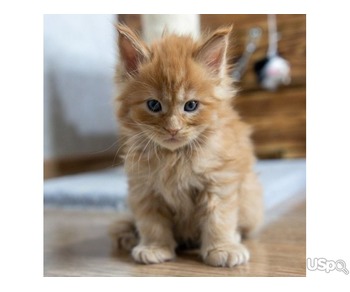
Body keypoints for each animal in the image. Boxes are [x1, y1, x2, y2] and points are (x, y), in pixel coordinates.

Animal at [110, 24, 264, 268]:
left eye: (191, 106)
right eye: (153, 105)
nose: (173, 129)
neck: (175, 158)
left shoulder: (219, 181)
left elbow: (219, 219)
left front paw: (222, 248)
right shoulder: (144, 188)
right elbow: (151, 222)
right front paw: (154, 247)